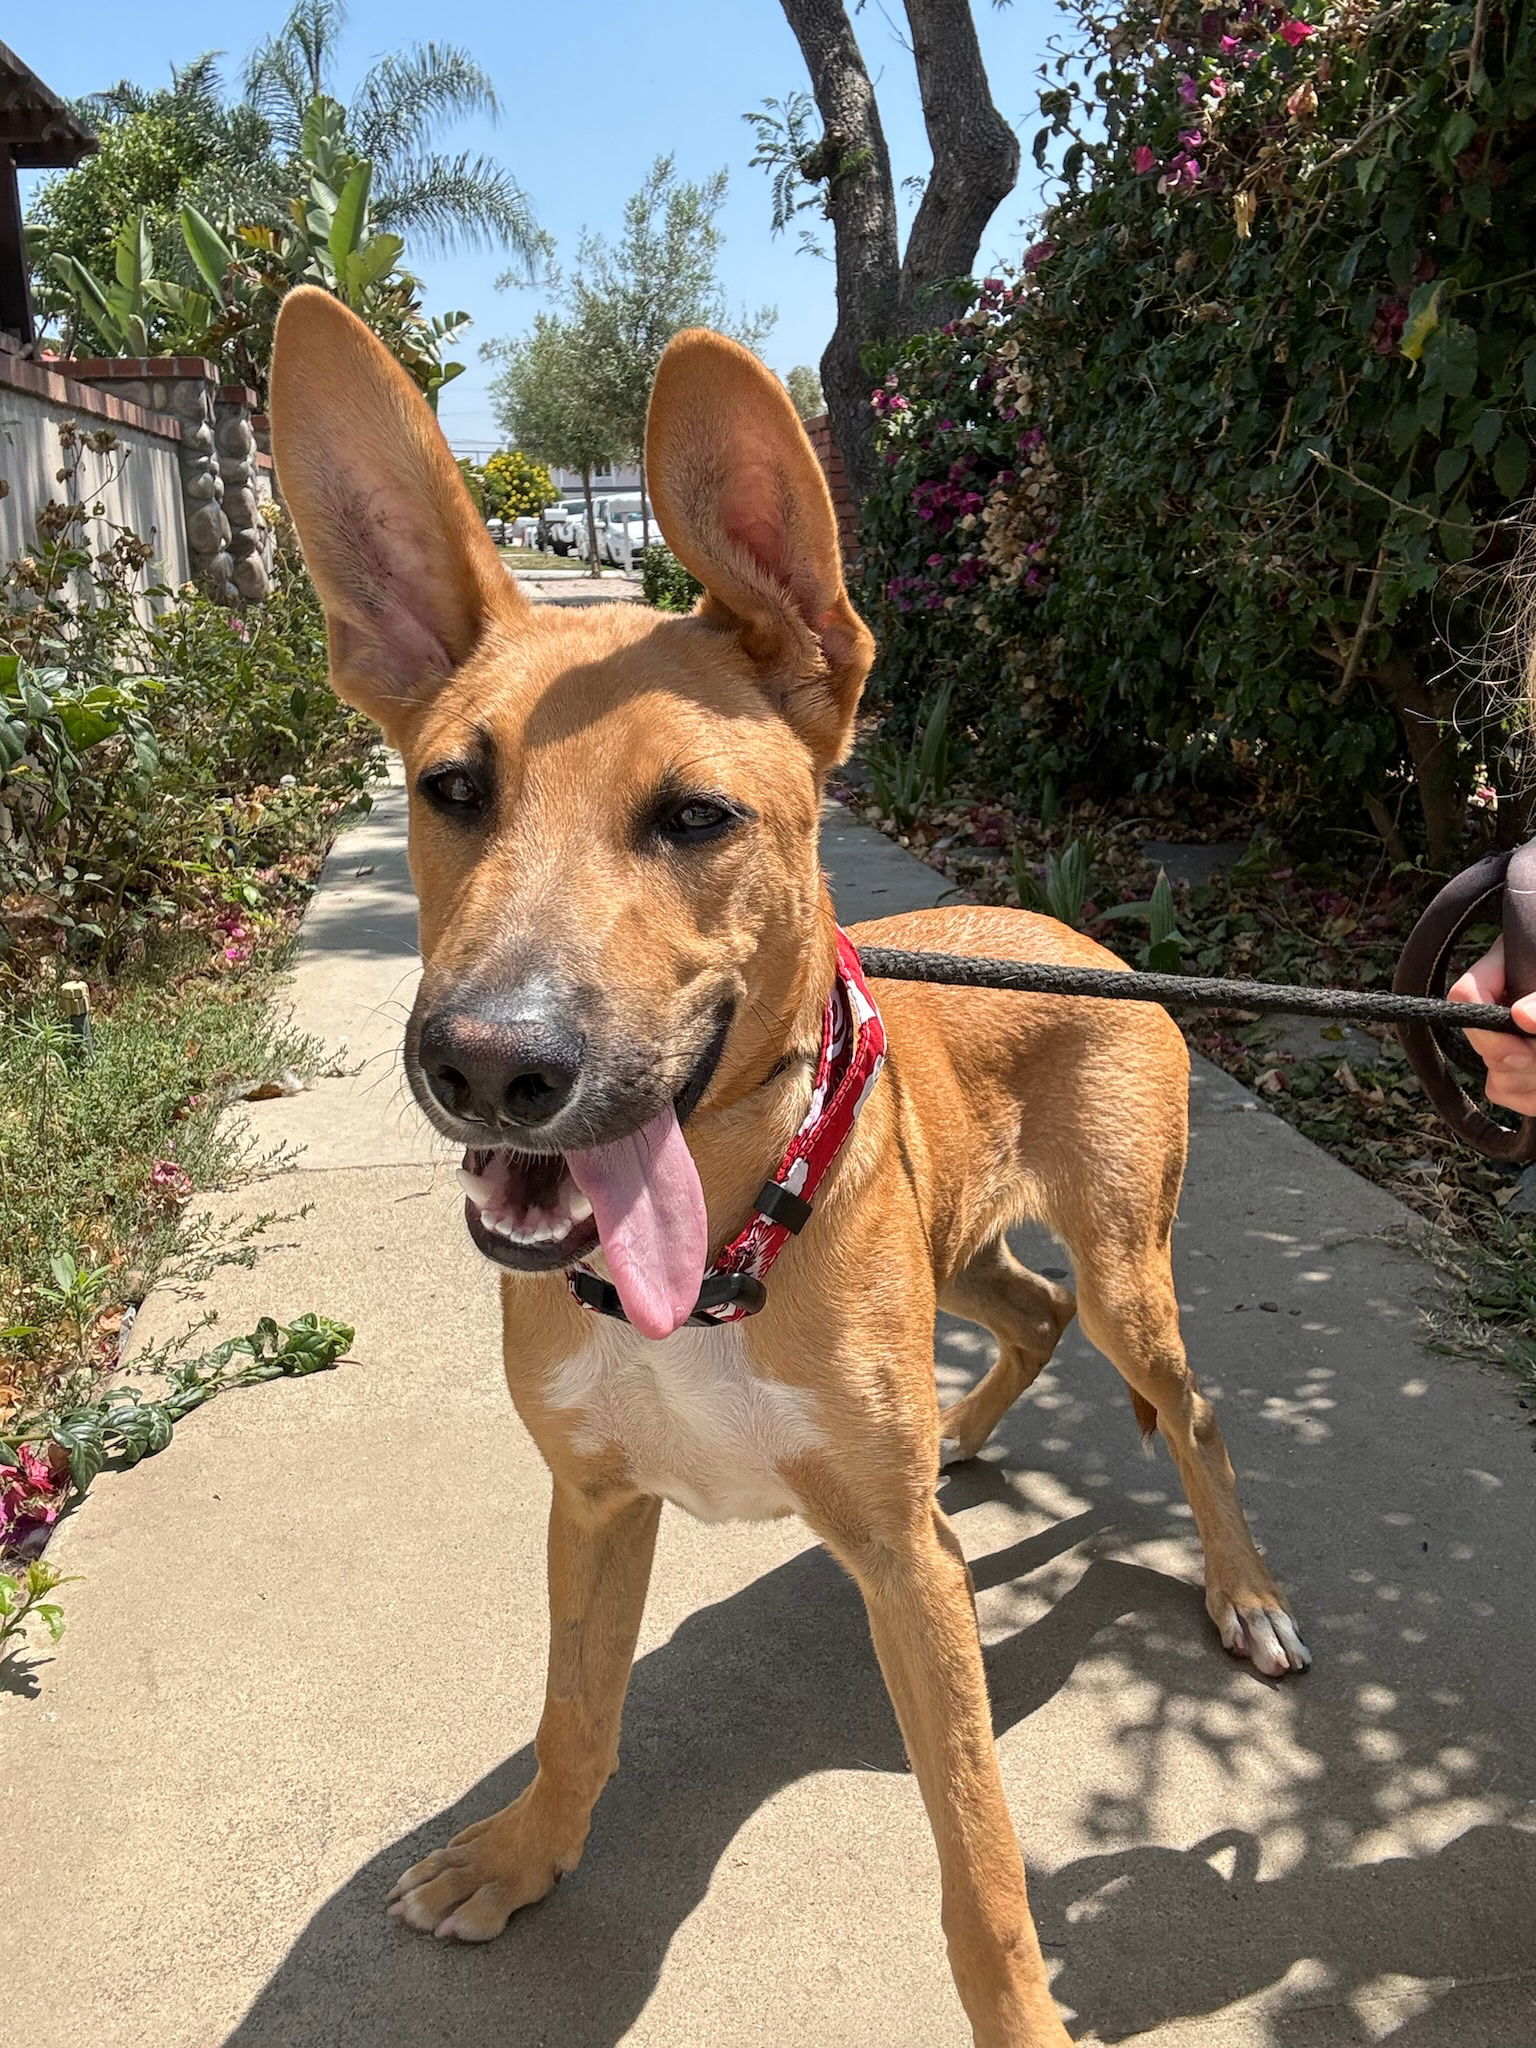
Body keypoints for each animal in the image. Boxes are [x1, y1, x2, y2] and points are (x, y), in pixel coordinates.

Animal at [270, 288, 1302, 2048]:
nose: (487, 1066)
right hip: (962, 1241)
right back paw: (969, 1434)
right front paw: (523, 1859)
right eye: (451, 788)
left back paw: (1239, 1591)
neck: (707, 1264)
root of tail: (1083, 938)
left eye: (696, 816)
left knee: (1189, 1407)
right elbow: (574, 1712)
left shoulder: (911, 1583)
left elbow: (984, 1869)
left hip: (1128, 1268)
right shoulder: (594, 1500)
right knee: (1024, 1318)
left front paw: (1023, 2018)